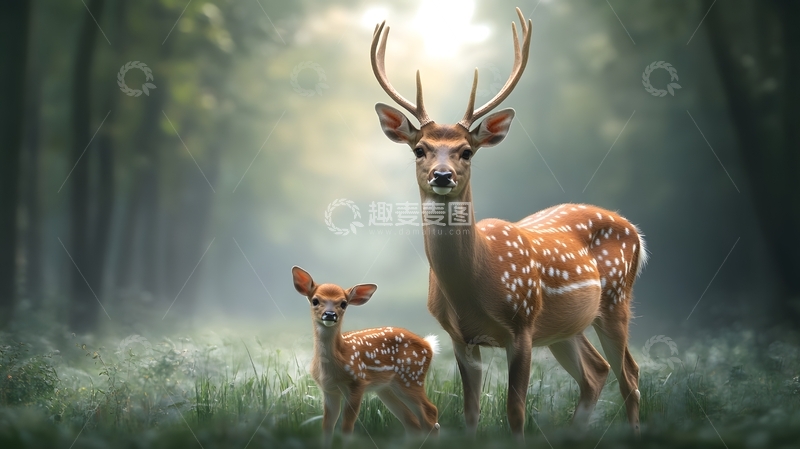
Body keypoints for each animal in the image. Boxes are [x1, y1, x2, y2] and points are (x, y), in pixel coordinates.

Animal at [291, 266, 440, 447]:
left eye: (343, 303)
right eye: (315, 300)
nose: (330, 314)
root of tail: (429, 345)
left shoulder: (358, 382)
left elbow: (347, 426)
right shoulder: (329, 389)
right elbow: (327, 426)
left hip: (411, 377)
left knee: (430, 412)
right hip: (387, 388)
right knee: (413, 422)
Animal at [369, 7, 647, 440]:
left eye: (467, 151)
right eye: (420, 149)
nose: (442, 175)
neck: (473, 284)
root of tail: (634, 230)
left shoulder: (522, 324)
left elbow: (515, 411)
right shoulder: (460, 337)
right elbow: (470, 412)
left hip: (617, 299)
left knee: (630, 374)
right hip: (567, 326)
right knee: (596, 372)